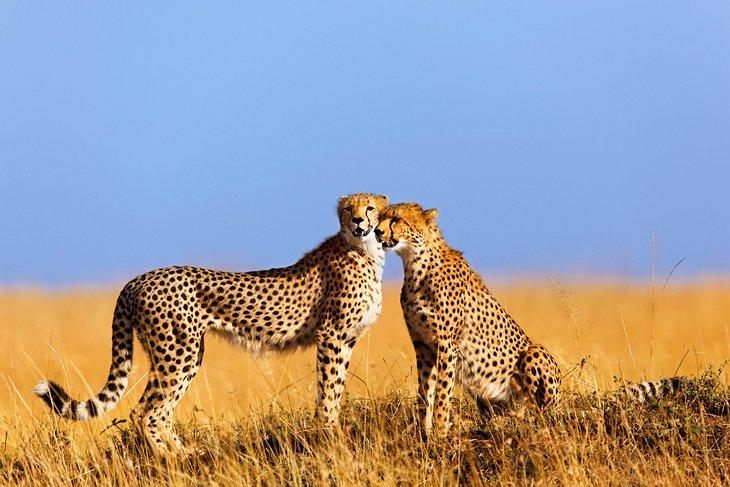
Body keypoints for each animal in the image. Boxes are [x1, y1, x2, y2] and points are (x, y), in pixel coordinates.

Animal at [35, 192, 389, 453]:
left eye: (370, 207)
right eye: (348, 208)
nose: (358, 220)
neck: (365, 250)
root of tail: (138, 279)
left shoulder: (346, 340)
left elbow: (337, 386)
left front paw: (330, 431)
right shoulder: (332, 335)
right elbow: (329, 389)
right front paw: (330, 435)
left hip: (183, 355)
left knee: (160, 410)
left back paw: (184, 453)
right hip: (178, 353)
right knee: (146, 411)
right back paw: (170, 460)